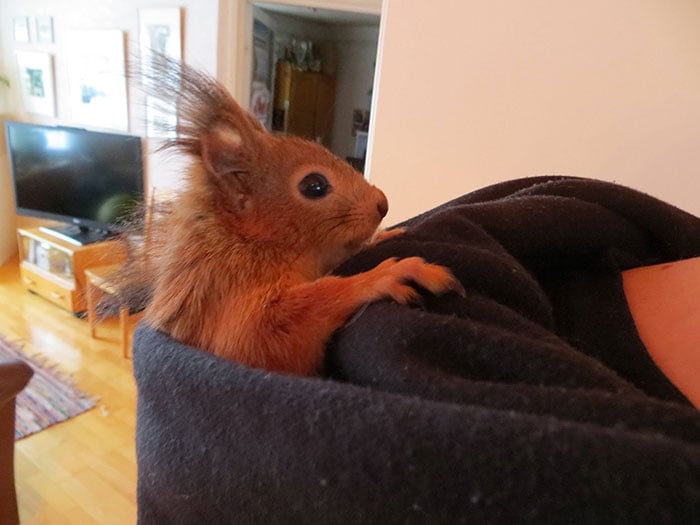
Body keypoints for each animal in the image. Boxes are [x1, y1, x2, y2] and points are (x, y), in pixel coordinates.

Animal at [126, 57, 464, 374]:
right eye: (314, 185)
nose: (383, 204)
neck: (250, 241)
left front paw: (383, 236)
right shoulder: (225, 296)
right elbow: (274, 329)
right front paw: (385, 274)